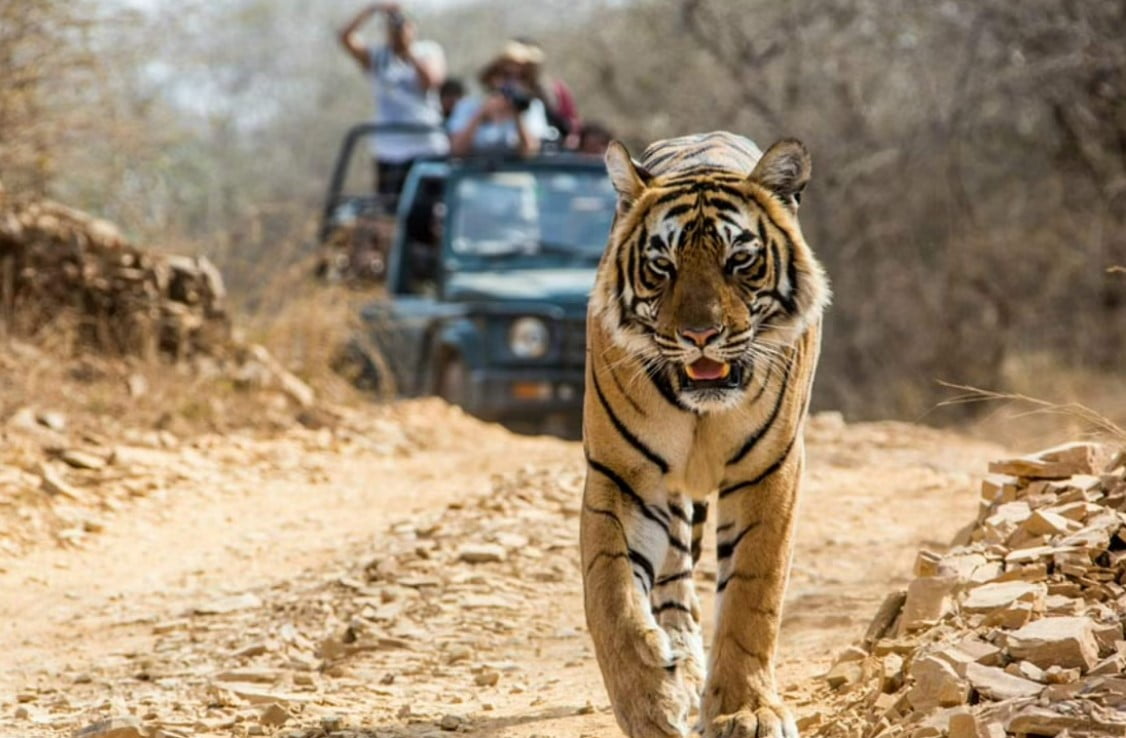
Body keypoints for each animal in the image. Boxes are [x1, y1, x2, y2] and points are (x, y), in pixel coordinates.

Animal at [581, 132, 828, 738]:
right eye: (661, 266)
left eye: (739, 260)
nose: (700, 335)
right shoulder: (621, 474)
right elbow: (611, 596)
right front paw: (650, 704)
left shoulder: (769, 471)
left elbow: (751, 598)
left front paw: (748, 711)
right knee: (671, 577)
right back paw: (680, 665)